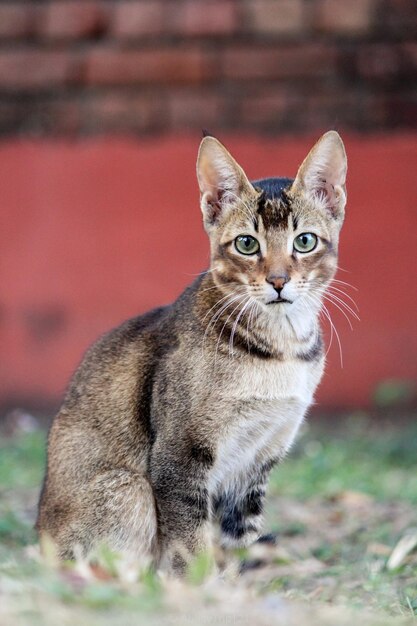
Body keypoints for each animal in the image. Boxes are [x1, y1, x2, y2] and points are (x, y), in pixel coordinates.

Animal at [37, 132, 346, 576]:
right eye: (247, 244)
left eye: (304, 241)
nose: (278, 281)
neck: (280, 352)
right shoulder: (180, 457)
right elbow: (190, 547)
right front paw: (196, 586)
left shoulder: (256, 463)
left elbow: (239, 543)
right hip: (128, 489)